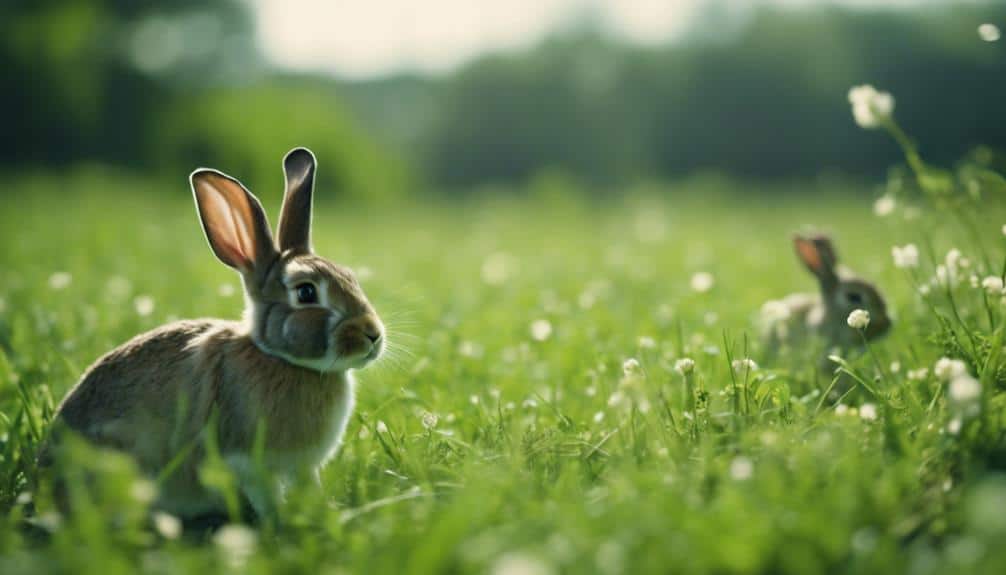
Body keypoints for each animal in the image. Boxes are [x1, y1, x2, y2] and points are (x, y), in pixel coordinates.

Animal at [40, 148, 384, 520]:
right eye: (306, 292)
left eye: (351, 278)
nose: (373, 334)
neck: (281, 359)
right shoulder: (245, 459)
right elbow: (263, 494)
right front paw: (279, 521)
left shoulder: (303, 467)